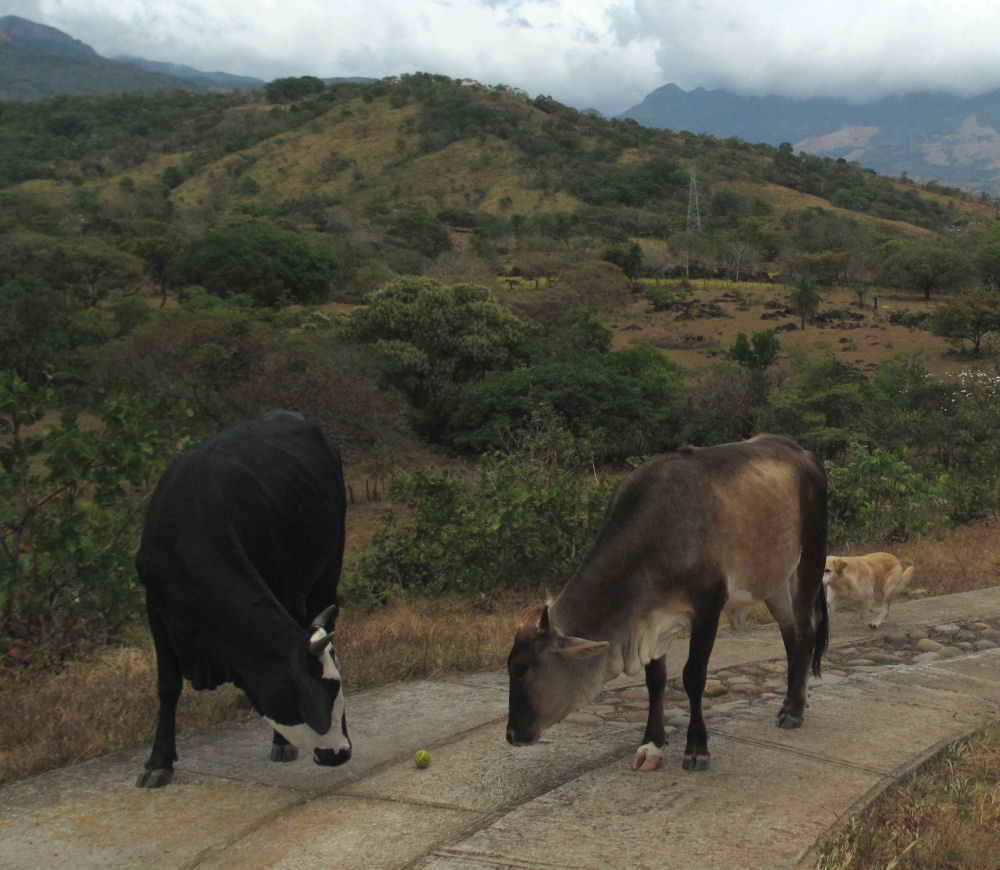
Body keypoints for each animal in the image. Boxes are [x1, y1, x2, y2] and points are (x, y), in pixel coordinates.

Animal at [135, 410, 351, 788]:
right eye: (326, 690)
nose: (342, 753)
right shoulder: (156, 606)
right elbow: (167, 685)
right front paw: (158, 762)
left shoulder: (284, 588)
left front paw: (282, 743)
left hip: (329, 562)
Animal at [506, 433, 828, 773]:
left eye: (522, 669)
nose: (511, 734)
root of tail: (805, 453)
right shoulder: (651, 619)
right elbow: (655, 681)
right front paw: (652, 742)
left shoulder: (707, 609)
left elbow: (693, 676)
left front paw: (697, 747)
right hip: (775, 582)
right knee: (790, 636)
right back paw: (792, 699)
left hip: (808, 563)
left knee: (806, 629)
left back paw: (794, 710)